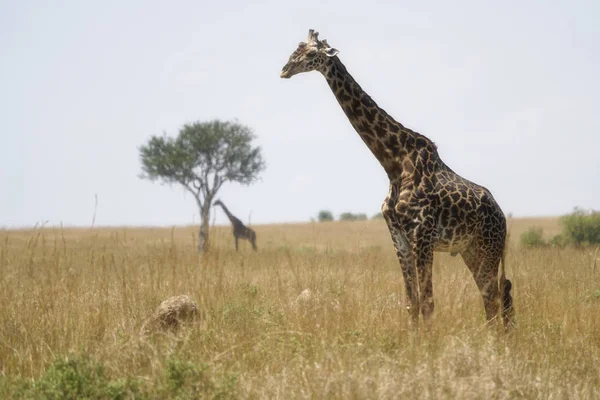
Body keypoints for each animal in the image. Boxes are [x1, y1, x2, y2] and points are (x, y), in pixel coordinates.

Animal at [278, 28, 512, 330]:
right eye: (296, 47)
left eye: (310, 53)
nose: (285, 70)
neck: (394, 163)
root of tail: (503, 217)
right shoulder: (398, 235)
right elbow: (412, 302)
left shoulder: (422, 235)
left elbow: (428, 303)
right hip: (471, 250)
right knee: (491, 298)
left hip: (488, 248)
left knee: (496, 297)